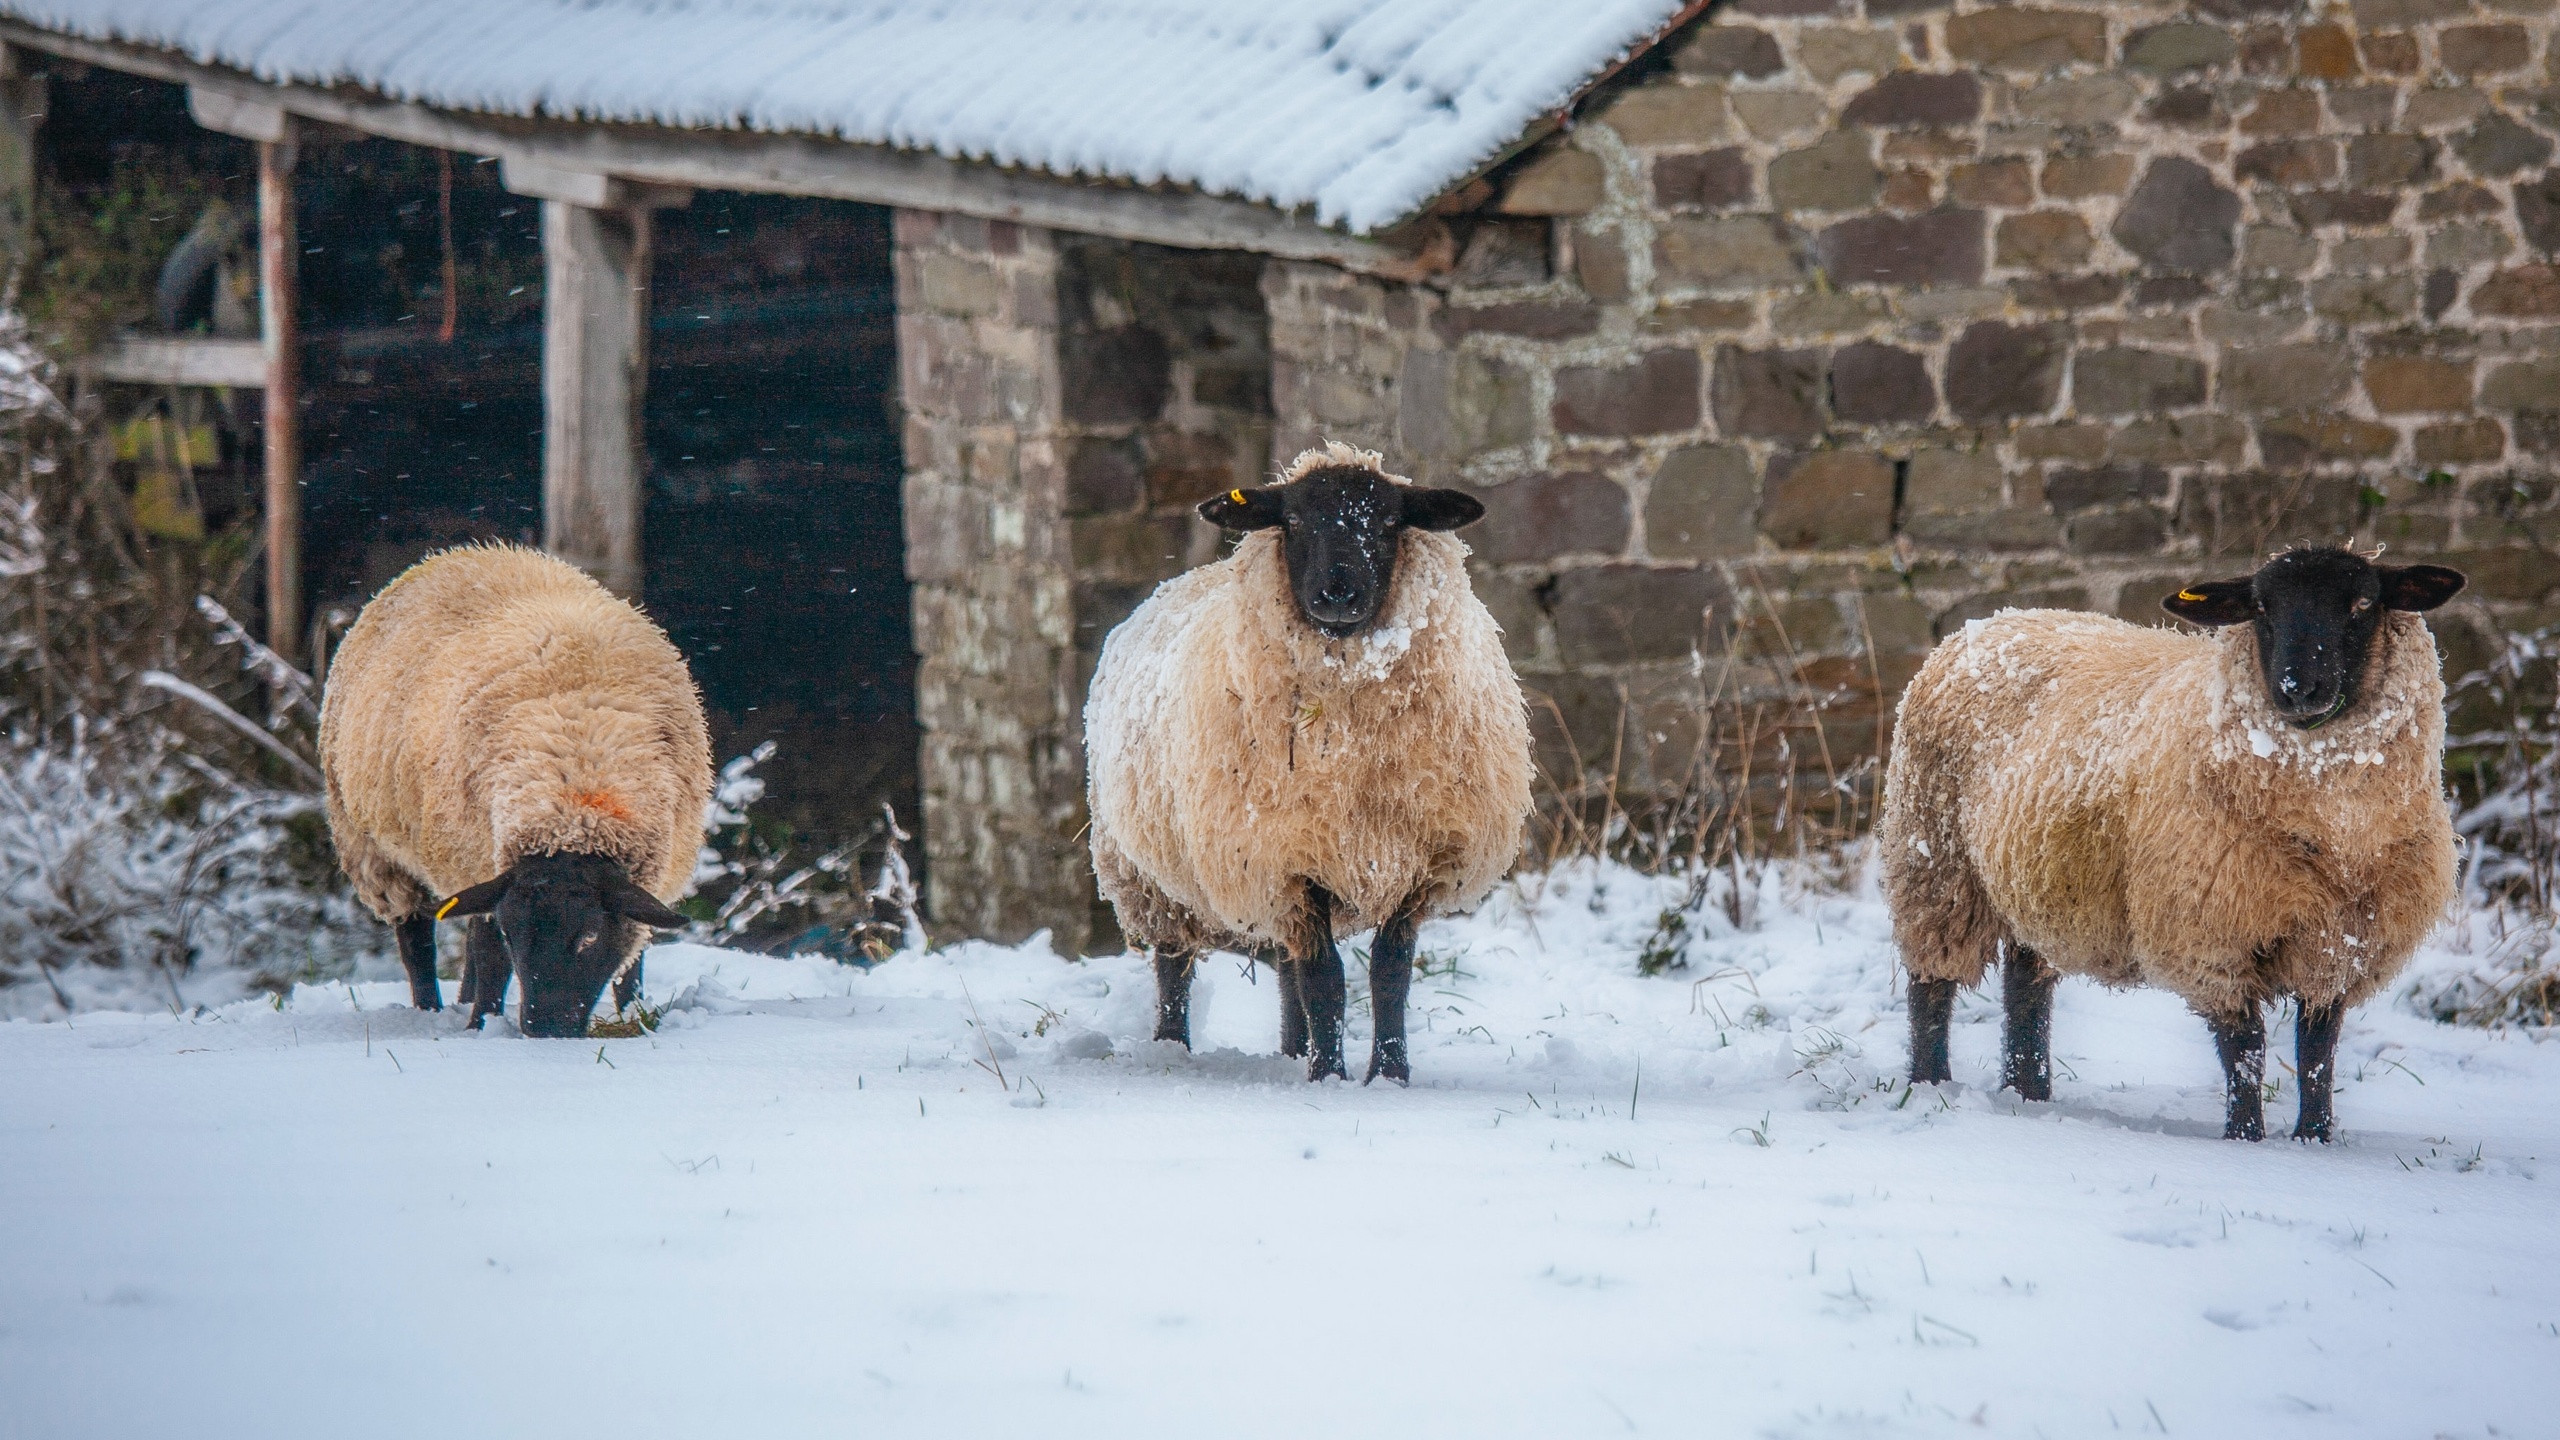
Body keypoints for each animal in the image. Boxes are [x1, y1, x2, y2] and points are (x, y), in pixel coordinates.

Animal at [325, 540, 721, 1030]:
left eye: (590, 936)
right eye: (516, 935)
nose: (545, 1031)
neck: (577, 798)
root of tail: (459, 552)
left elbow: (632, 957)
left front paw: (636, 1015)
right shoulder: (485, 864)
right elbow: (491, 955)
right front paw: (483, 1025)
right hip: (375, 848)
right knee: (417, 940)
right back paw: (432, 1010)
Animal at [1085, 438, 1525, 1076]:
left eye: (1390, 521)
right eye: (1292, 520)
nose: (1338, 594)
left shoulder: (1419, 858)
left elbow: (1387, 974)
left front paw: (1387, 1074)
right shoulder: (1286, 860)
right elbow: (1326, 981)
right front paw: (1331, 1074)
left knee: (1288, 971)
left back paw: (1294, 1052)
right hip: (1146, 874)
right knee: (1175, 966)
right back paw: (1174, 1048)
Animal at [1894, 543, 2467, 1137]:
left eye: (2362, 605)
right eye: (2262, 608)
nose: (2296, 690)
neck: (2337, 830)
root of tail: (1991, 620)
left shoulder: (2340, 943)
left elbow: (2316, 1052)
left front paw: (2314, 1139)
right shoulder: (2211, 936)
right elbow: (2246, 1048)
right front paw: (2247, 1138)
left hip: (2034, 878)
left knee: (2025, 986)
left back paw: (2027, 1095)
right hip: (1935, 864)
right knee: (1930, 986)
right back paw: (1932, 1087)